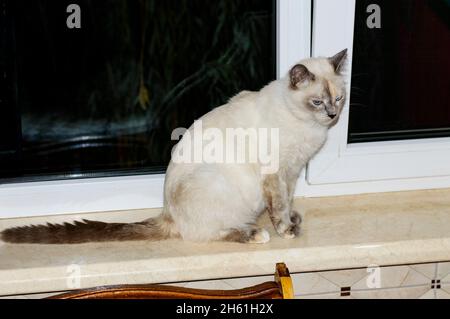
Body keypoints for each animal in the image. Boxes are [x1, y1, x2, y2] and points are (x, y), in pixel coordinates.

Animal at [0, 49, 348, 245]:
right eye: (317, 102)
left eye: (339, 98)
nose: (332, 116)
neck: (307, 127)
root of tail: (166, 213)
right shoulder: (276, 173)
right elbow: (279, 206)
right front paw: (286, 231)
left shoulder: (292, 172)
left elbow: (288, 202)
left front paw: (293, 220)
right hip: (217, 184)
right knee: (206, 233)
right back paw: (254, 234)